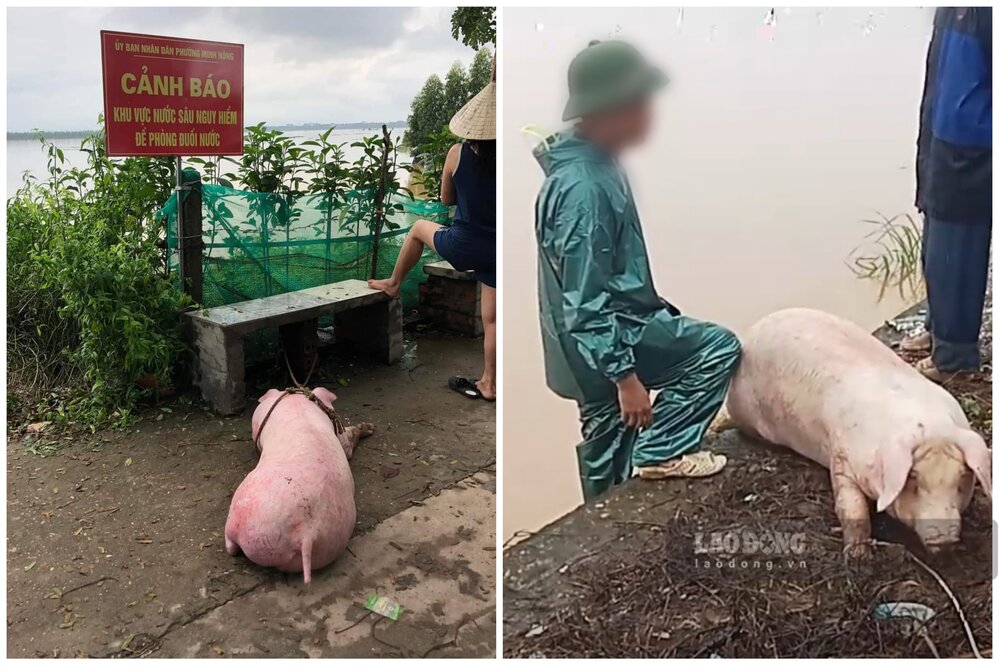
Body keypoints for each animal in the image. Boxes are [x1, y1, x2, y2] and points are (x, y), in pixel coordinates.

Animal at [720, 308, 992, 556]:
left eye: (961, 477)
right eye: (913, 478)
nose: (944, 540)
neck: (931, 430)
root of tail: (749, 337)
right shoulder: (841, 458)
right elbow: (850, 507)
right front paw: (857, 555)